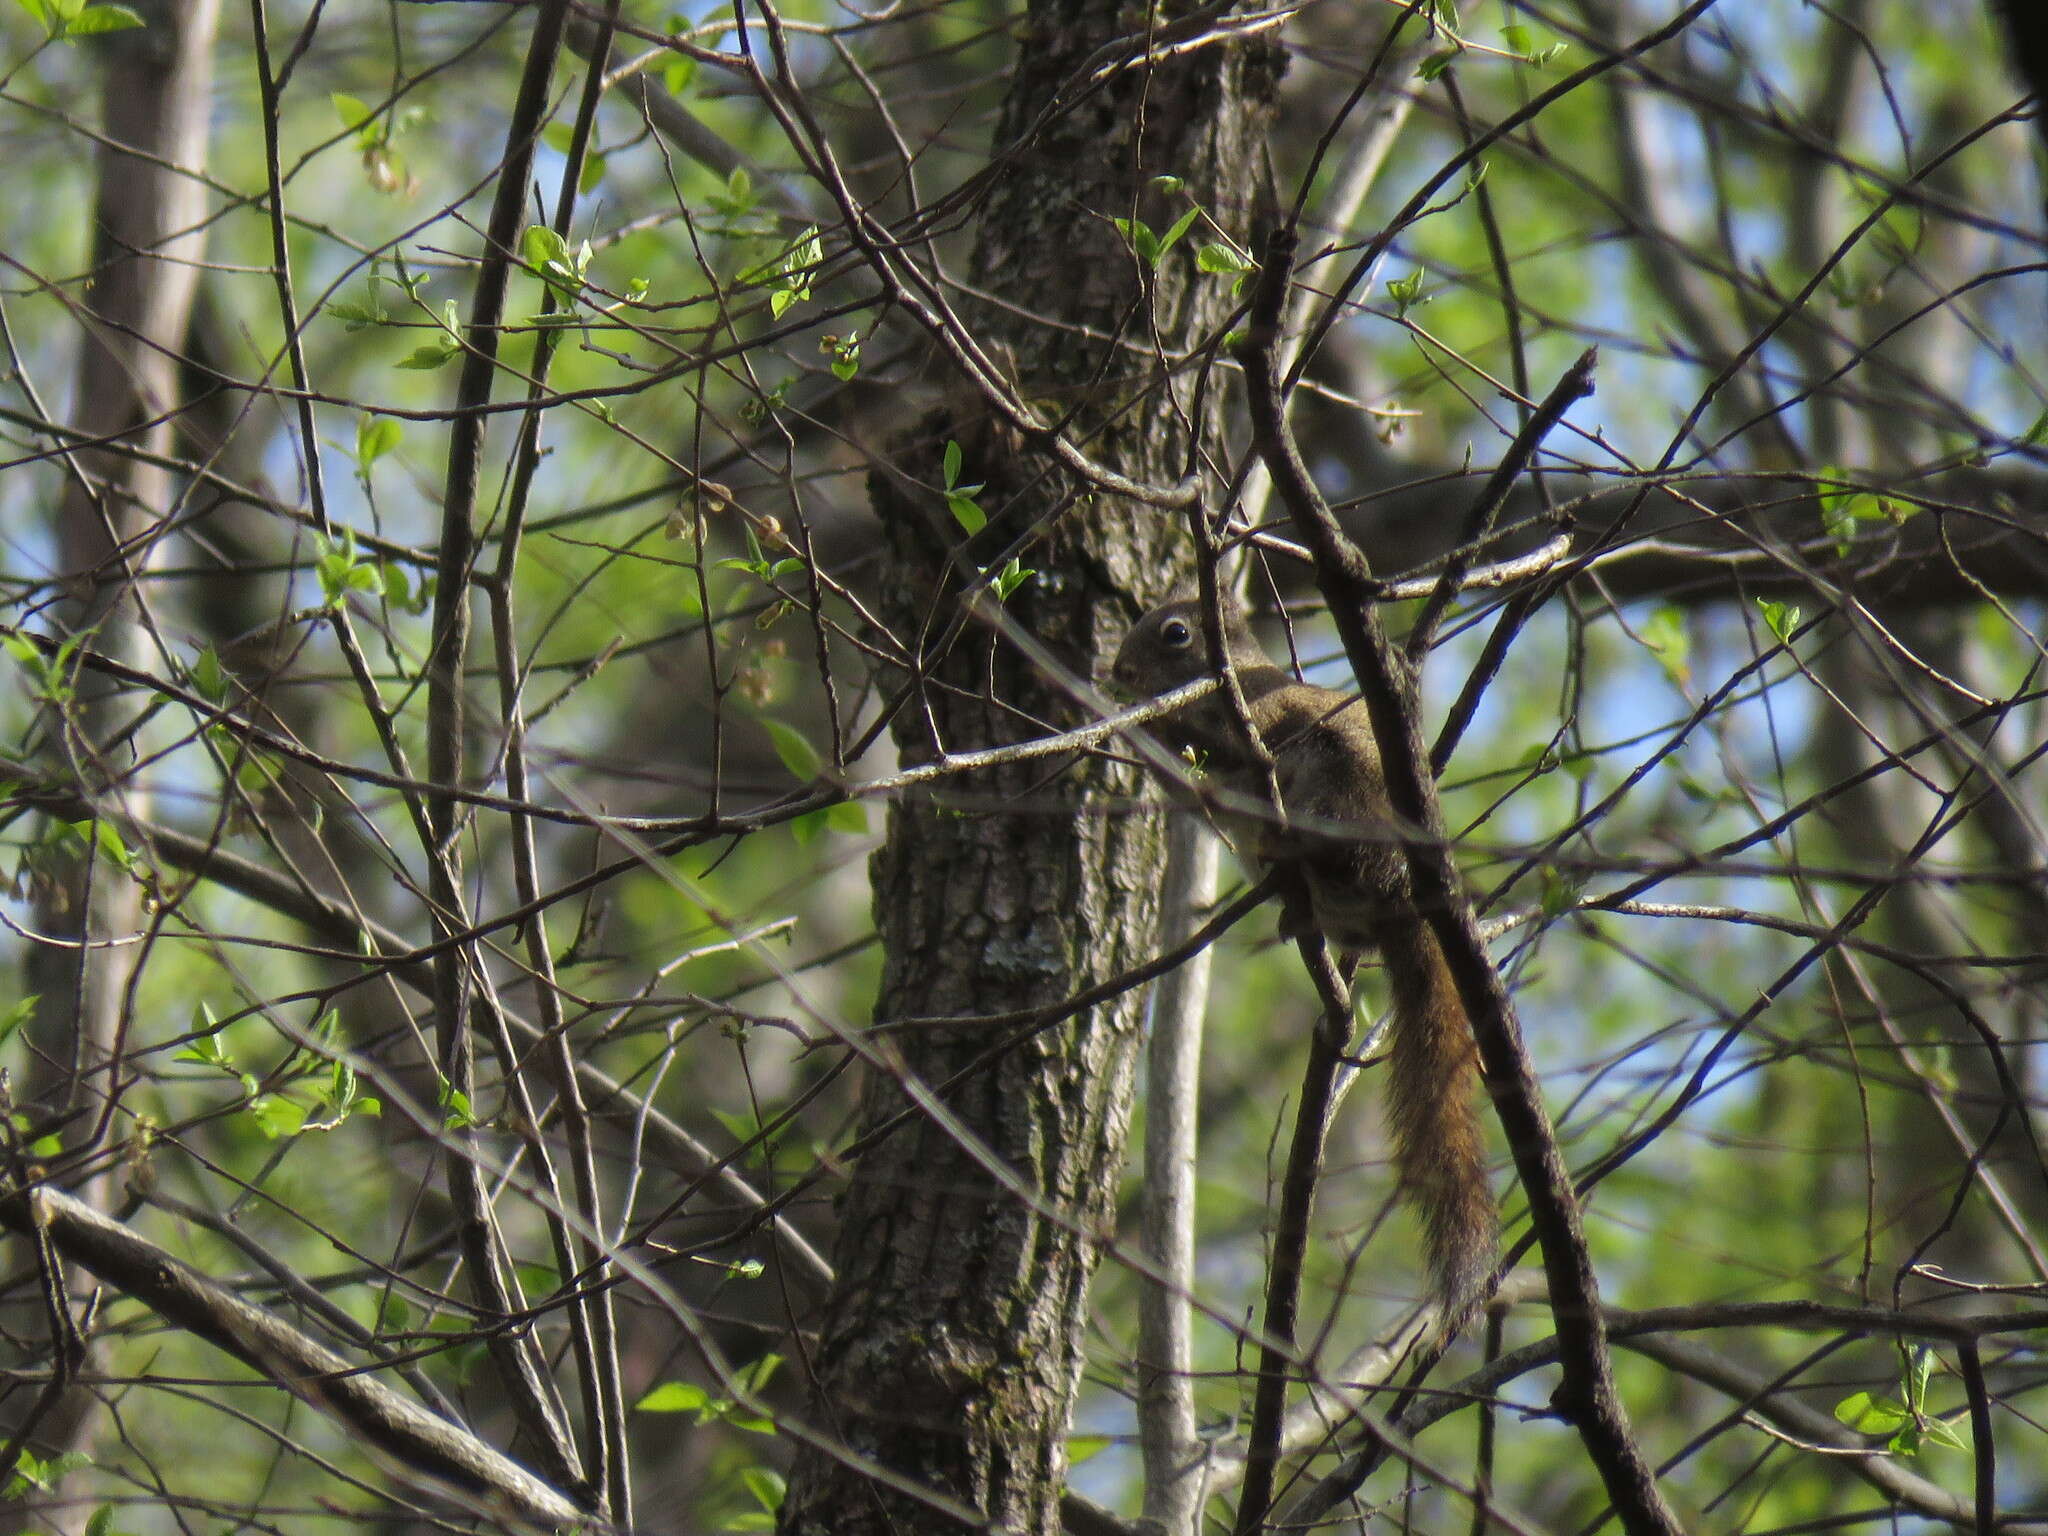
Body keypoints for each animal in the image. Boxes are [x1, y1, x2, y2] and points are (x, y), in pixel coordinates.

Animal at [1114, 593, 1499, 1327]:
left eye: (1175, 633)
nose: (1120, 673)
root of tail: (1406, 901)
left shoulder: (1261, 715)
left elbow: (1238, 743)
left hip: (1341, 794)